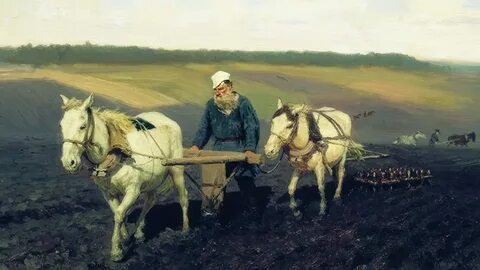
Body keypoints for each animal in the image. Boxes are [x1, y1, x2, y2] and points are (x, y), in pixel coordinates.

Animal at [59, 94, 188, 260]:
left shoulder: (133, 191)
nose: (69, 162)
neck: (116, 151)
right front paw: (125, 237)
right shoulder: (108, 193)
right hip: (153, 180)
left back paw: (185, 229)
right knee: (150, 201)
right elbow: (117, 212)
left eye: (82, 126)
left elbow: (120, 214)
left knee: (183, 197)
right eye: (61, 126)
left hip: (176, 170)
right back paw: (139, 232)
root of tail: (168, 120)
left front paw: (117, 251)